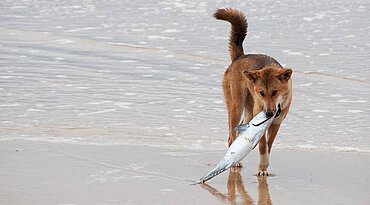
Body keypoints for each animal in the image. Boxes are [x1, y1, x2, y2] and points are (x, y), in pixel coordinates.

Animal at [214, 8, 292, 176]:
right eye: (261, 93)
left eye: (275, 92)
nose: (268, 113)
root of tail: (239, 57)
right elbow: (263, 147)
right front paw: (262, 168)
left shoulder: (276, 124)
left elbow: (268, 146)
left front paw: (264, 166)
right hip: (236, 107)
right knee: (231, 137)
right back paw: (235, 162)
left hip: (249, 113)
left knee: (239, 132)